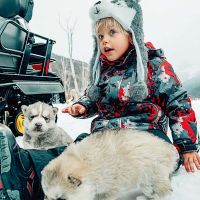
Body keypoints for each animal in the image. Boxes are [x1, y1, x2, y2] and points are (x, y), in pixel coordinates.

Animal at [41, 128, 178, 200]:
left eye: (61, 199)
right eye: (46, 196)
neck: (86, 164)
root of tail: (169, 148)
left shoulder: (111, 188)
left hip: (156, 176)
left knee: (166, 193)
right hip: (145, 181)